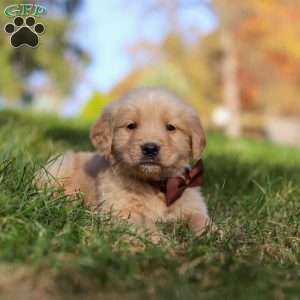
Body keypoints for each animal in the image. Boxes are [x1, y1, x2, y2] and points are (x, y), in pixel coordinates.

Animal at [43, 88, 210, 236]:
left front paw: (214, 235)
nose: (150, 148)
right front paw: (160, 243)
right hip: (59, 166)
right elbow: (145, 225)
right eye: (131, 126)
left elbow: (202, 220)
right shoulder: (122, 209)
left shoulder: (193, 204)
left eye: (170, 127)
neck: (156, 185)